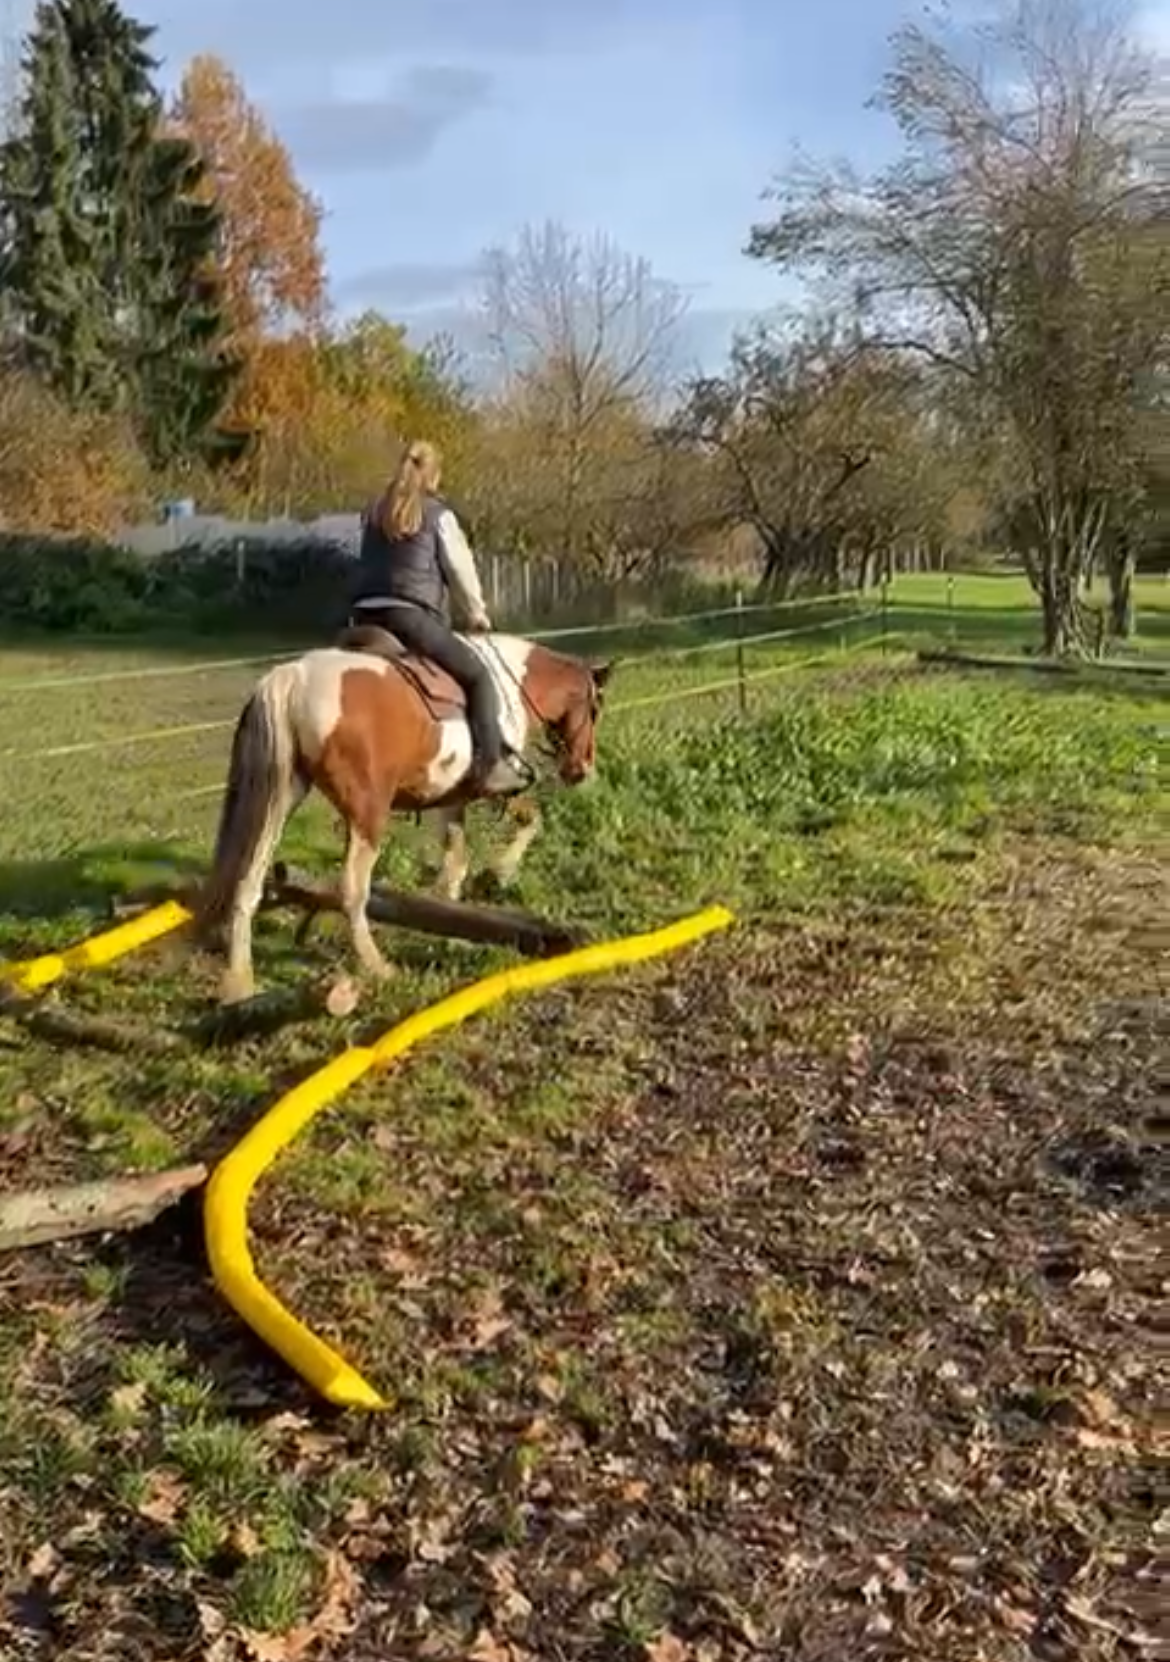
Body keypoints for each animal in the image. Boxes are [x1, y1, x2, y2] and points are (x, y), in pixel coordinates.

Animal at [195, 628, 614, 1004]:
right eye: (594, 709)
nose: (581, 769)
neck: (511, 684)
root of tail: (294, 678)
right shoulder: (495, 785)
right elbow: (530, 821)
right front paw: (499, 873)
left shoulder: (452, 800)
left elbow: (455, 863)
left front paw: (454, 927)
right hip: (367, 814)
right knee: (351, 890)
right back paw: (378, 967)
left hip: (281, 797)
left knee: (248, 883)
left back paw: (239, 984)